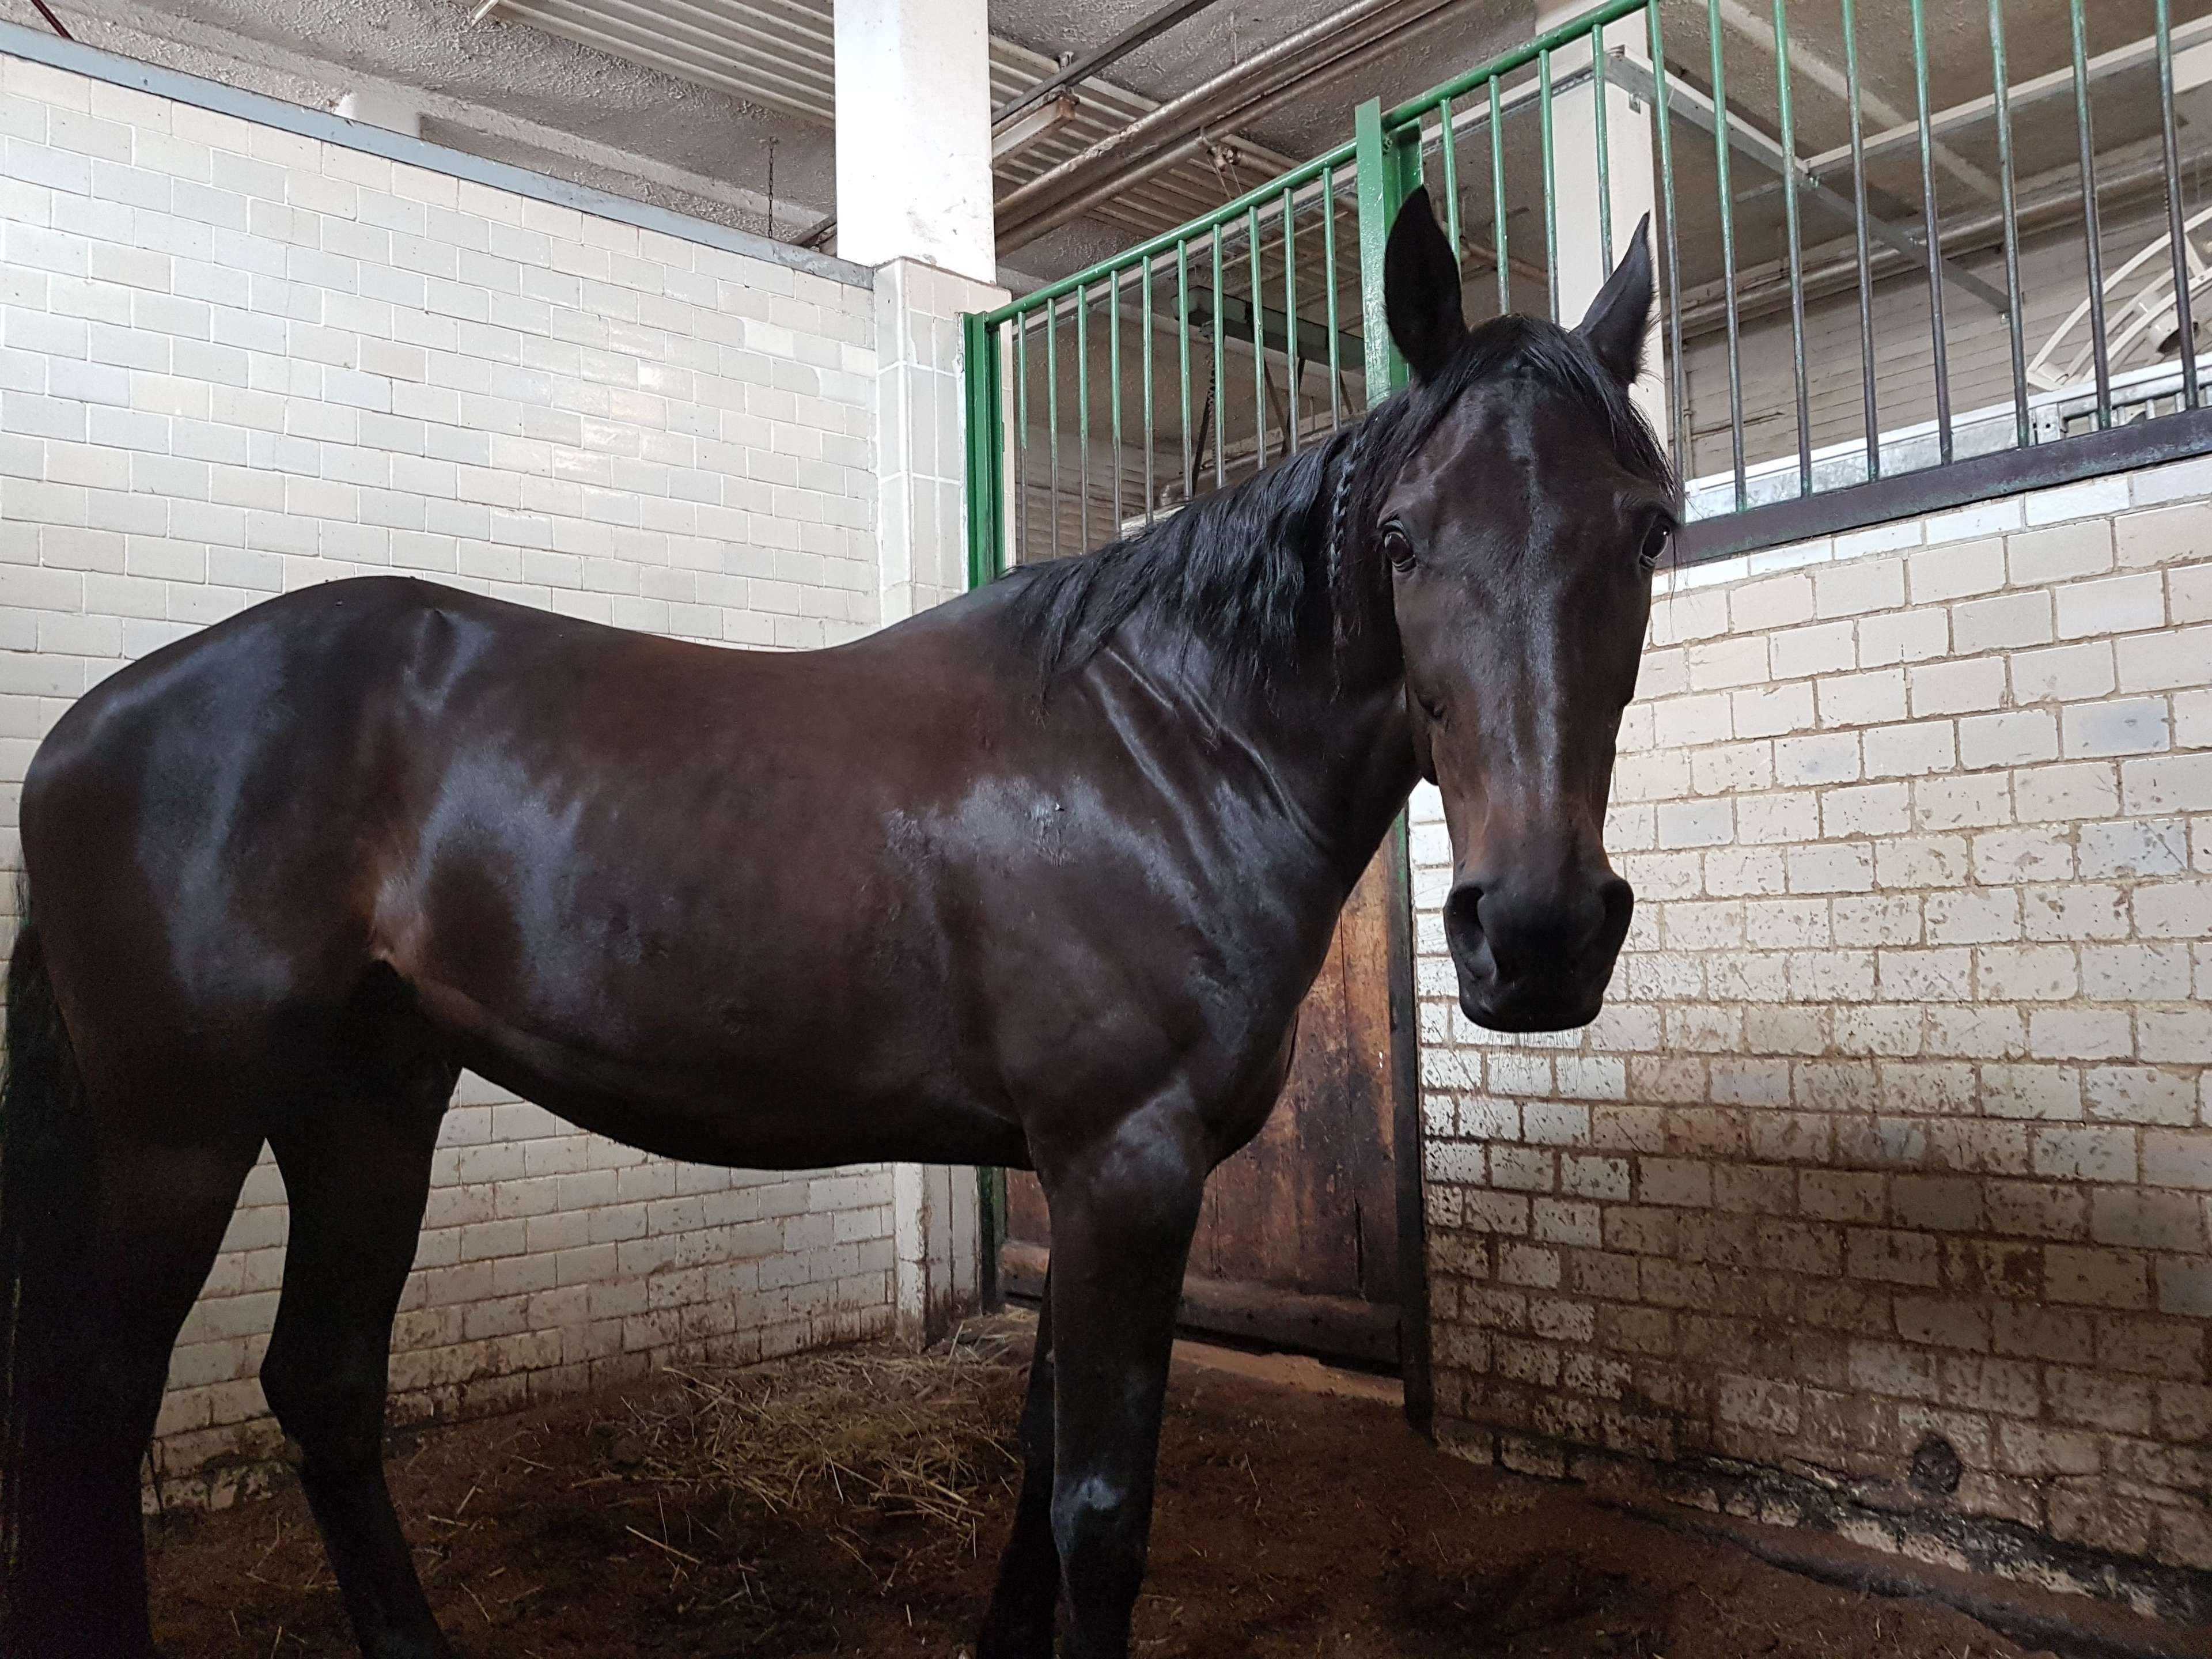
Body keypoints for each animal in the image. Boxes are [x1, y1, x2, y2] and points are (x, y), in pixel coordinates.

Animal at [0, 188, 1675, 1659]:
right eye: (1401, 538)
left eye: (1649, 533)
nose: (1537, 933)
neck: (1166, 743)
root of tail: (88, 728)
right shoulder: (1126, 1162)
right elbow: (1099, 1507)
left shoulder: (1093, 1169)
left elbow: (1038, 1459)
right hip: (180, 1132)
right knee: (92, 1404)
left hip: (365, 1101)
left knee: (326, 1387)